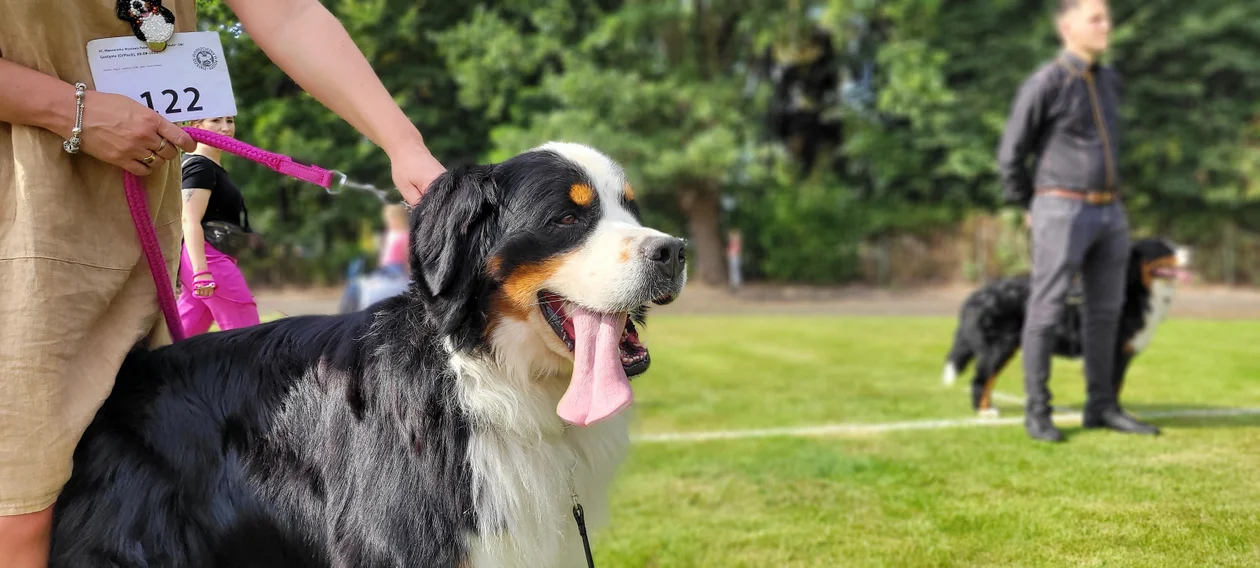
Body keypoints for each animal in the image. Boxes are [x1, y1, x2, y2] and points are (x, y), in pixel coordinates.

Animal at [942, 236, 1184, 418]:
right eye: (1163, 248)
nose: (1188, 252)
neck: (1134, 289)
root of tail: (977, 295)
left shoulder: (1122, 354)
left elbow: (1117, 386)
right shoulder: (1111, 351)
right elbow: (1111, 385)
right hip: (998, 347)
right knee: (981, 379)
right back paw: (985, 411)